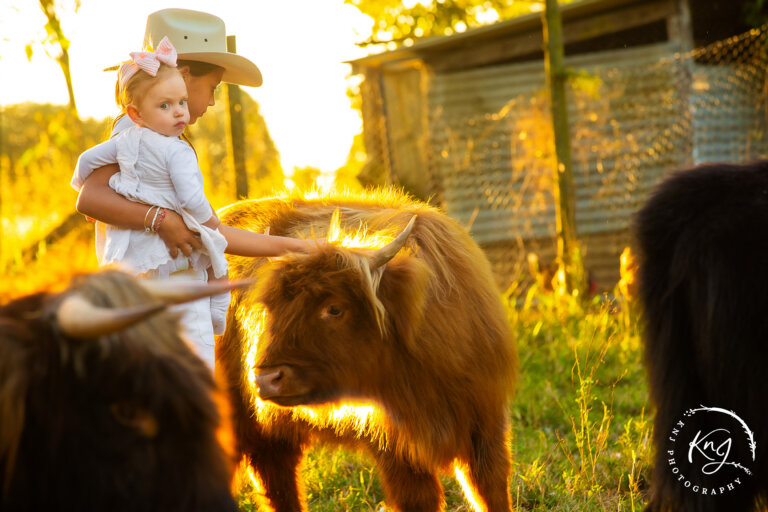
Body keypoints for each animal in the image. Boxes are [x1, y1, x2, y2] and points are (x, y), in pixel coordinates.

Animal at [217, 191, 518, 512]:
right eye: (270, 308)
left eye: (334, 308)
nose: (265, 379)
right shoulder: (396, 450)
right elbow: (418, 500)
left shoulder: (486, 426)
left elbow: (491, 490)